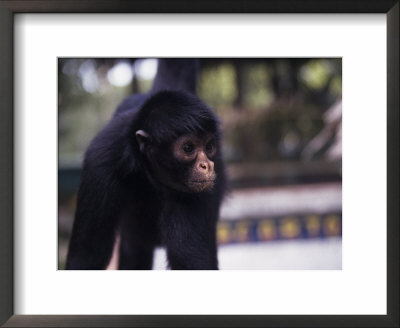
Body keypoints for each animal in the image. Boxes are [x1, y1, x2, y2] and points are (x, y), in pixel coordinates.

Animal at [67, 59, 227, 270]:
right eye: (188, 148)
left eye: (209, 146)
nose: (206, 165)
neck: (148, 174)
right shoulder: (100, 161)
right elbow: (87, 256)